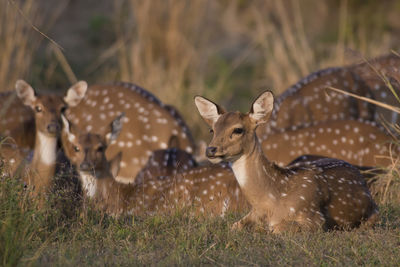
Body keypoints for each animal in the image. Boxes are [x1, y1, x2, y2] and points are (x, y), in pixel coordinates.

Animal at [195, 91, 380, 232]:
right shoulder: (252, 213)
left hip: (373, 213)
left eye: (238, 129)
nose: (210, 150)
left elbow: (276, 229)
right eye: (212, 130)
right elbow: (234, 226)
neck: (270, 201)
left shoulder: (314, 218)